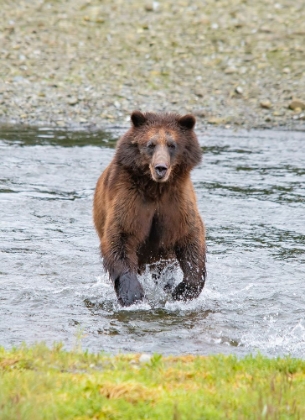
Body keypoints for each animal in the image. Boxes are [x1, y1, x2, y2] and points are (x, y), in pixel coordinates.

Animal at [93, 110, 207, 306]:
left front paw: (182, 291)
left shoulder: (176, 203)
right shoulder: (129, 198)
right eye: (150, 144)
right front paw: (133, 294)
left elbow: (191, 237)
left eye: (172, 144)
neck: (156, 188)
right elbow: (120, 237)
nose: (160, 168)